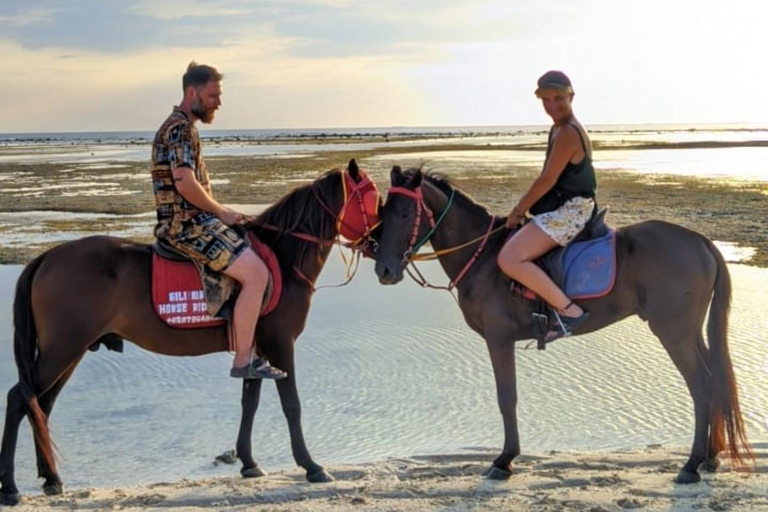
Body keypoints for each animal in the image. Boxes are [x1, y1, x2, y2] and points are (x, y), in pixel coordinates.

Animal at [1, 159, 380, 504]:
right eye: (374, 197)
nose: (378, 243)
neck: (283, 258)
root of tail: (45, 258)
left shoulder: (256, 349)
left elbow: (250, 401)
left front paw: (249, 462)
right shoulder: (280, 344)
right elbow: (292, 405)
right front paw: (311, 465)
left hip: (70, 351)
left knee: (42, 404)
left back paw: (51, 479)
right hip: (62, 349)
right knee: (20, 399)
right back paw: (11, 488)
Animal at [376, 167, 752, 484]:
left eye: (405, 214)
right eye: (382, 213)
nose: (384, 270)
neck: (484, 256)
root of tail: (700, 241)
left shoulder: (499, 340)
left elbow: (506, 397)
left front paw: (504, 459)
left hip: (674, 335)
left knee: (701, 386)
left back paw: (691, 465)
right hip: (690, 334)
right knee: (714, 381)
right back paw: (710, 457)